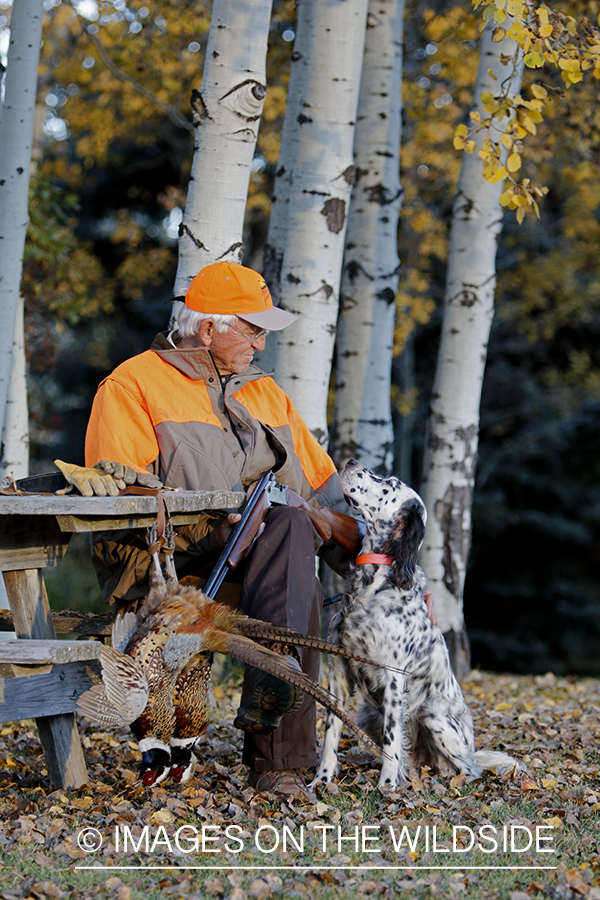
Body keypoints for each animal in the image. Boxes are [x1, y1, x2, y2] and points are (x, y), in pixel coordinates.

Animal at [312, 460, 524, 792]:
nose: (351, 462)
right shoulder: (338, 672)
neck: (371, 588)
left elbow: (392, 738)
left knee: (468, 768)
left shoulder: (394, 676)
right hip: (368, 715)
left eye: (390, 484)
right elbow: (331, 730)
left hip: (432, 713)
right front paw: (321, 779)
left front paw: (387, 786)